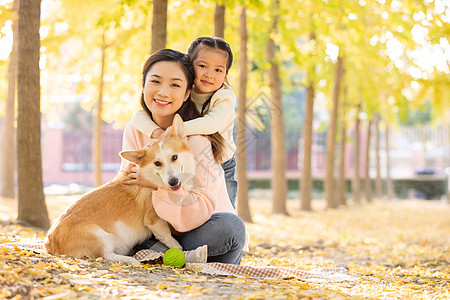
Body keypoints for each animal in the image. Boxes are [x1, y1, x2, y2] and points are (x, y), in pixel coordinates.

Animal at [43, 113, 195, 264]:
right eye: (157, 163)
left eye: (174, 157)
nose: (173, 181)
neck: (151, 178)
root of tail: (50, 244)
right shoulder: (154, 220)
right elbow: (169, 238)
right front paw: (180, 250)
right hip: (97, 234)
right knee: (106, 255)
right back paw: (131, 260)